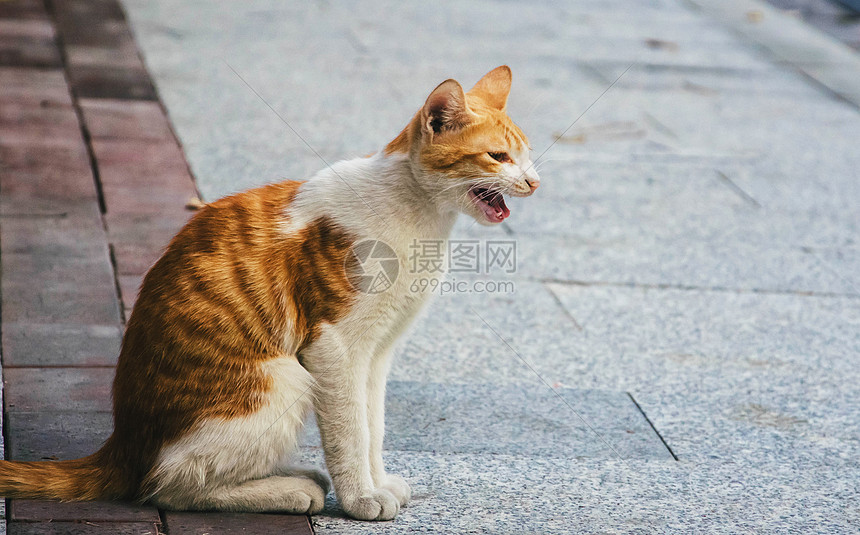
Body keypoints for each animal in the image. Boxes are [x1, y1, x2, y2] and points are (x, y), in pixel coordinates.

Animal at [0, 65, 536, 520]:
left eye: (527, 155)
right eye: (498, 157)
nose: (534, 181)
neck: (420, 217)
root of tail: (122, 444)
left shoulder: (378, 352)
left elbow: (373, 425)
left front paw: (377, 482)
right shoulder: (335, 347)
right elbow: (350, 429)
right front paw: (361, 498)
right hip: (284, 379)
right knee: (168, 485)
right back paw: (291, 490)